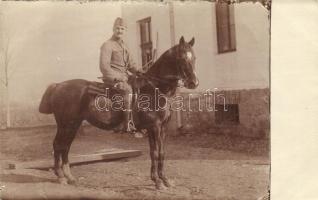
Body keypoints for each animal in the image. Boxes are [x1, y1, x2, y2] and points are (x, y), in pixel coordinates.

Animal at [39, 36, 199, 190]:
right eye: (182, 58)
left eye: (194, 57)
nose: (194, 83)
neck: (154, 89)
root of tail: (59, 85)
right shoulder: (154, 127)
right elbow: (155, 153)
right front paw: (158, 182)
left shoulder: (162, 128)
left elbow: (161, 152)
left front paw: (164, 180)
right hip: (66, 124)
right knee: (58, 145)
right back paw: (61, 177)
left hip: (74, 125)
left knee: (65, 146)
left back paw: (70, 177)